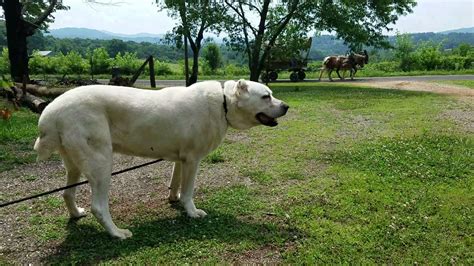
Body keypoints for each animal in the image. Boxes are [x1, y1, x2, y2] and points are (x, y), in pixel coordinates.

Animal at [33, 79, 288, 239]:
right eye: (266, 96)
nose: (286, 106)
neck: (224, 103)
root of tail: (50, 113)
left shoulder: (181, 159)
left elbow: (176, 183)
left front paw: (174, 199)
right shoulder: (193, 160)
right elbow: (189, 191)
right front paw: (192, 212)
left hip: (74, 164)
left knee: (67, 193)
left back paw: (77, 214)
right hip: (101, 164)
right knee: (99, 206)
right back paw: (118, 233)